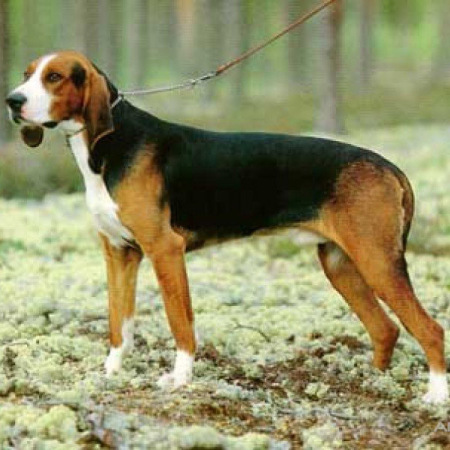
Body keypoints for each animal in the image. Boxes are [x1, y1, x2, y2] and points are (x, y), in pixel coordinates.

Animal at [5, 51, 448, 404]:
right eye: (27, 74)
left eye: (54, 77)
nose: (13, 100)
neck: (111, 147)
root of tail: (388, 165)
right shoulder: (119, 253)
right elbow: (119, 323)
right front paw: (111, 372)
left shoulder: (165, 249)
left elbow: (180, 321)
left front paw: (180, 379)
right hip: (341, 264)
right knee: (386, 330)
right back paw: (374, 384)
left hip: (377, 262)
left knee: (431, 329)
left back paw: (434, 396)